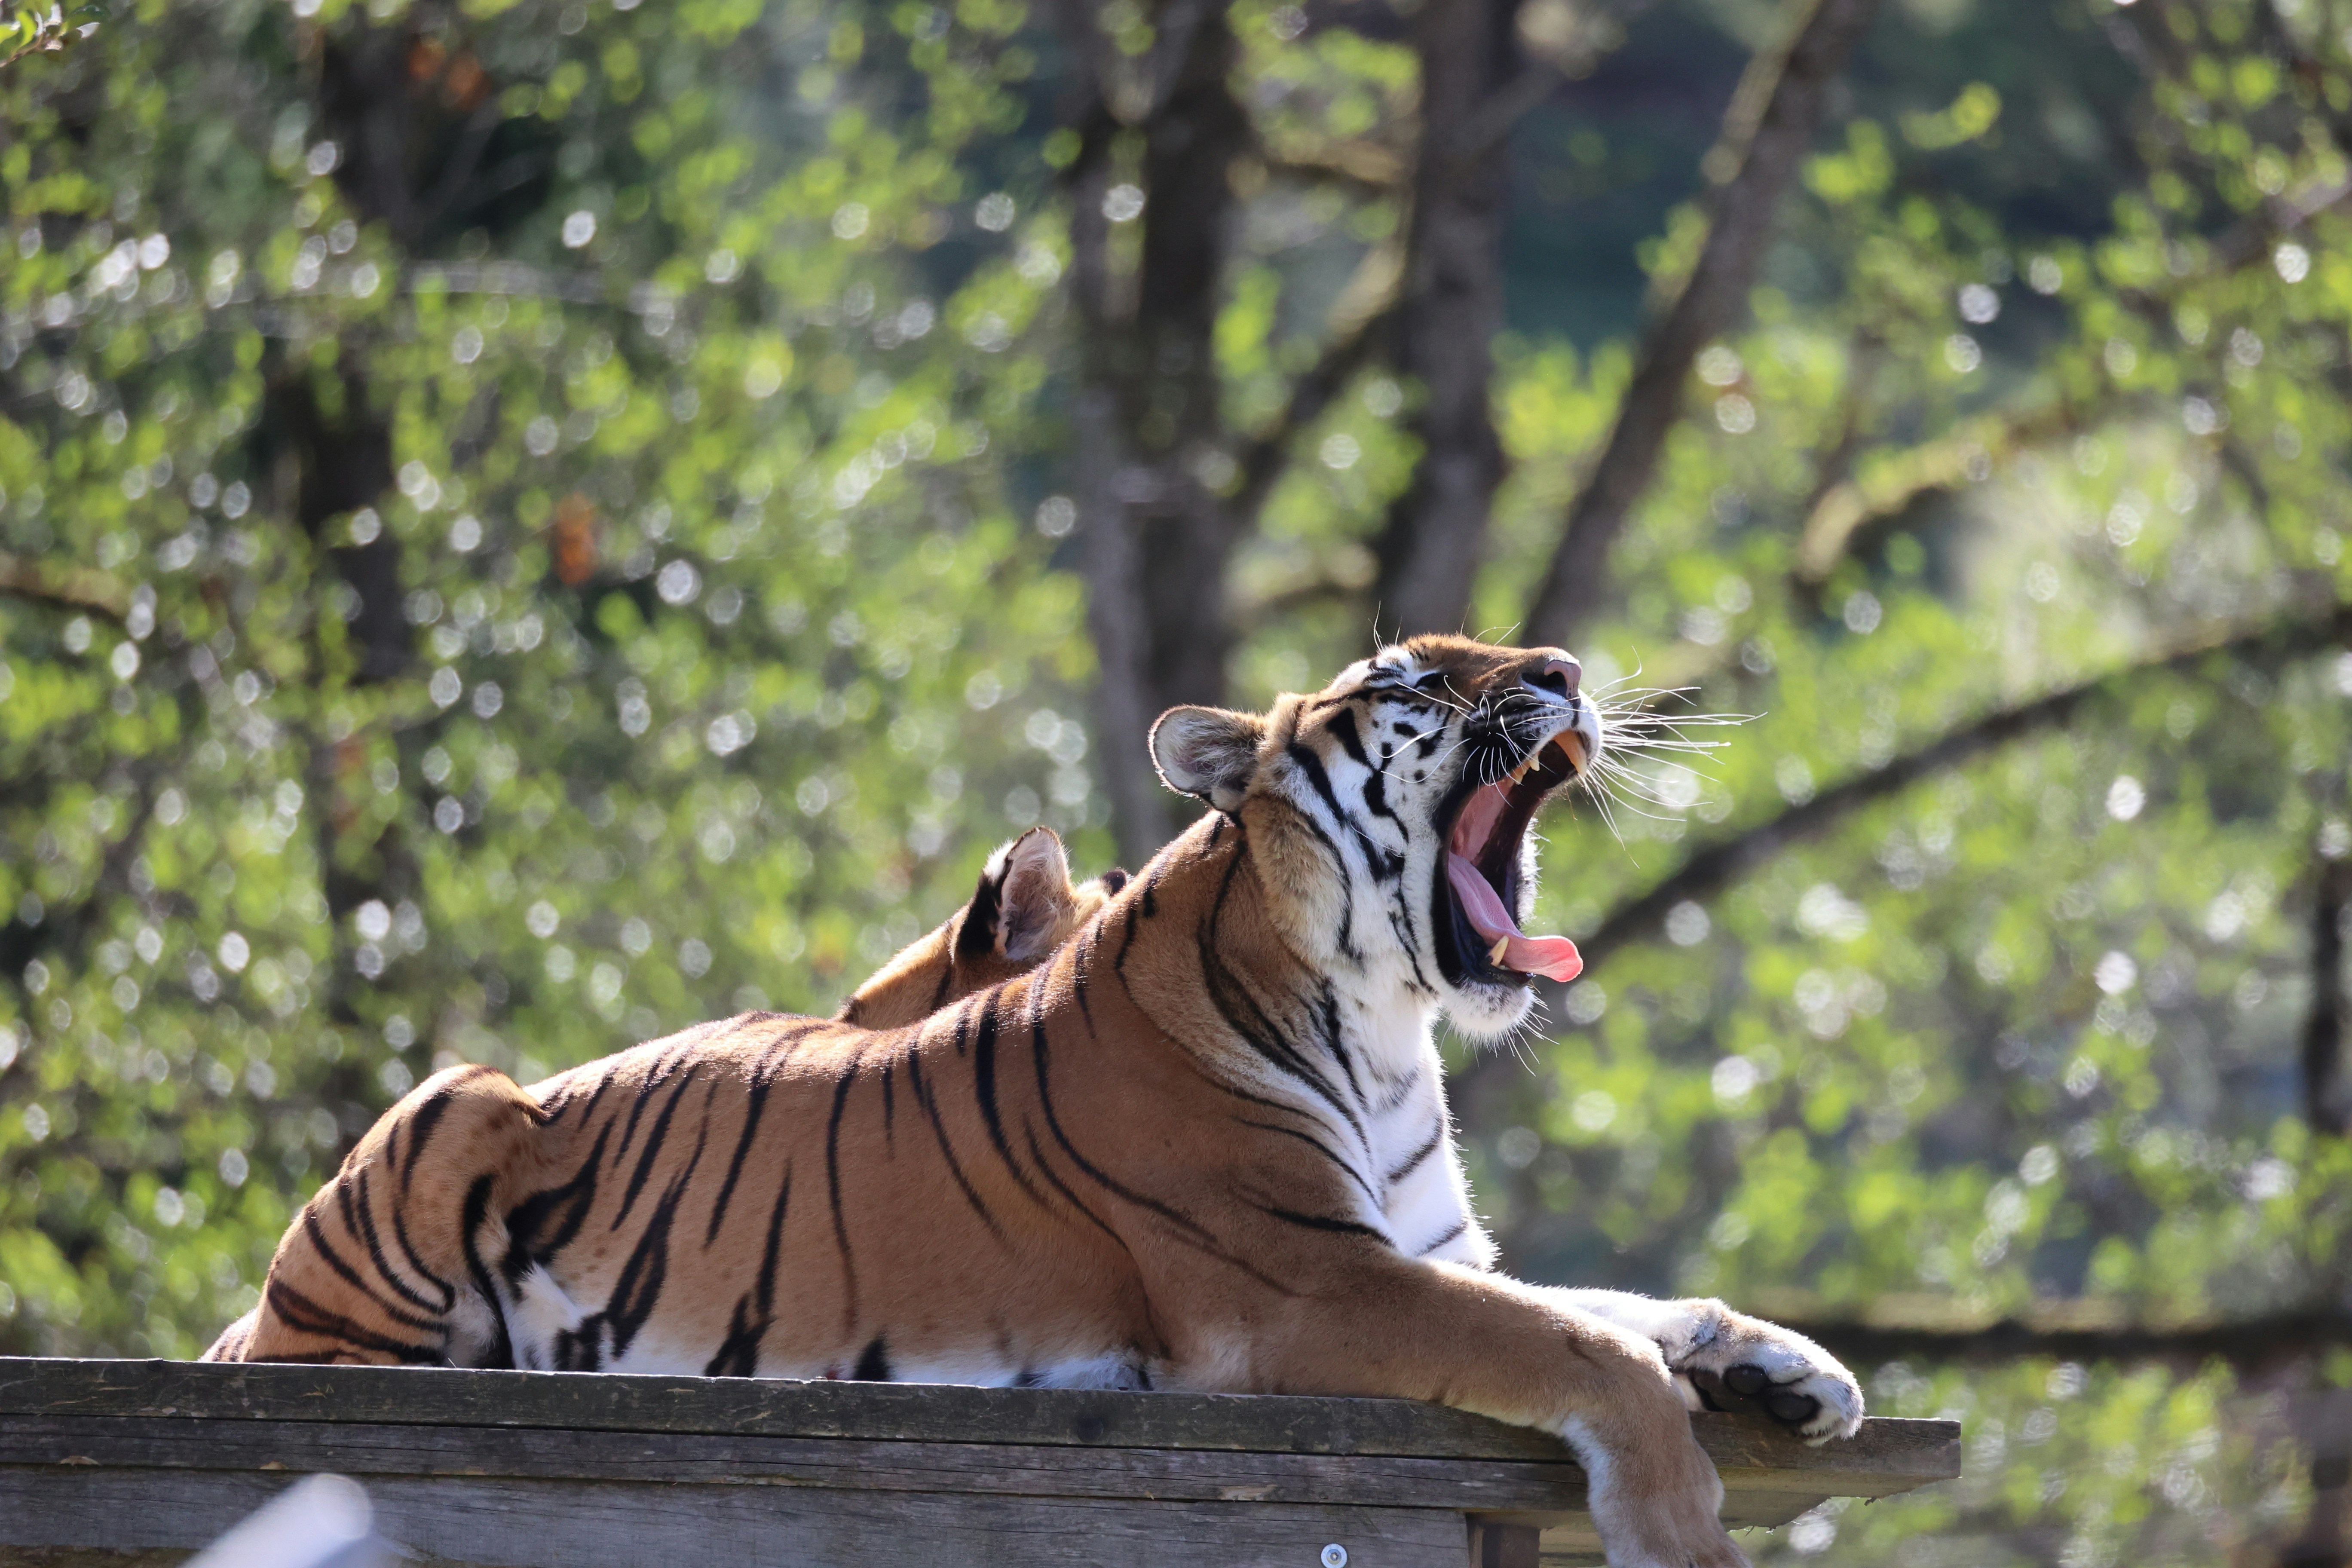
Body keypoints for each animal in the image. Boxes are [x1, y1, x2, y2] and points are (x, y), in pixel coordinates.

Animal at [208, 637, 1860, 1568]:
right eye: (1408, 681)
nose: (1568, 673)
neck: (1390, 1026)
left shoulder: (1428, 1253)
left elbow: (1622, 1305)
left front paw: (1792, 1369)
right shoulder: (1302, 1282)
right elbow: (1587, 1346)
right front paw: (1682, 1532)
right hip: (441, 1128)